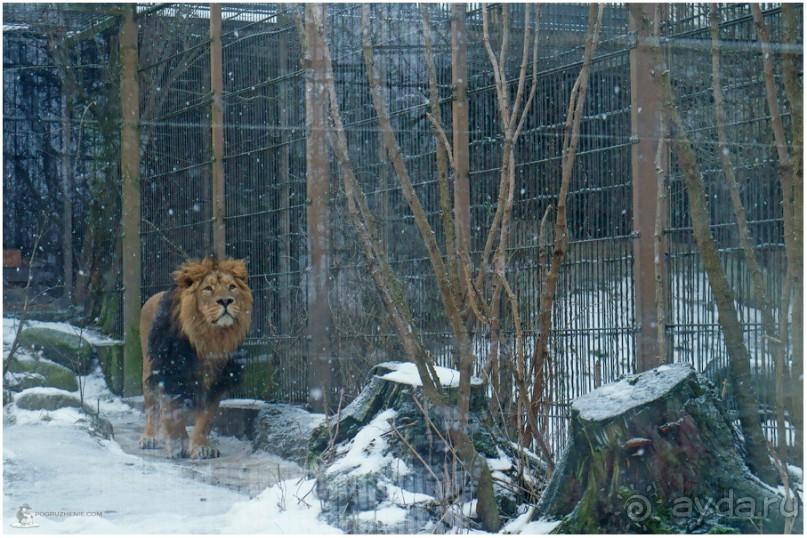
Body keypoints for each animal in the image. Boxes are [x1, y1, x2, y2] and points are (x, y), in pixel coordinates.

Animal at [139, 255, 252, 456]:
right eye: (208, 288)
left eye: (232, 286)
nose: (226, 301)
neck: (210, 339)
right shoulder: (170, 374)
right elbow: (173, 413)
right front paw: (178, 445)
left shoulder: (216, 381)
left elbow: (206, 418)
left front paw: (202, 448)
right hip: (148, 370)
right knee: (152, 407)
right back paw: (149, 437)